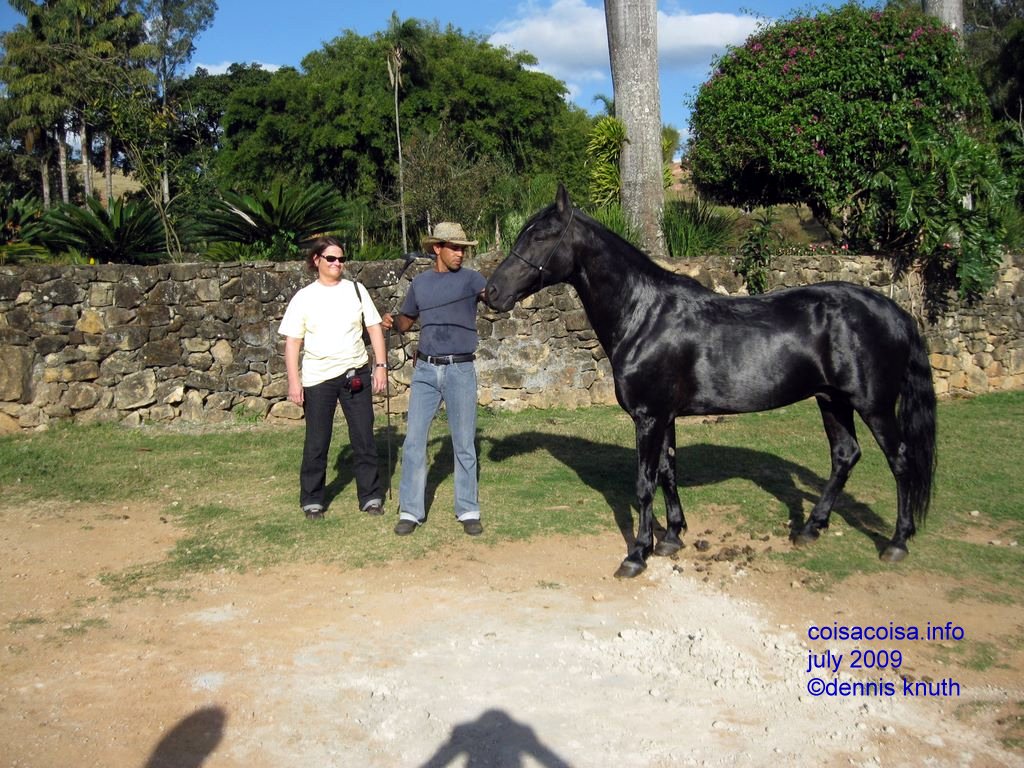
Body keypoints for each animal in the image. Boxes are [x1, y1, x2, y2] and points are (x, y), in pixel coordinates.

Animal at [485, 185, 937, 578]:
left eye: (539, 236)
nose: (491, 292)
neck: (645, 316)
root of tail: (896, 312)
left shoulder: (648, 417)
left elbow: (644, 483)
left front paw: (637, 554)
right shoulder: (664, 416)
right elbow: (668, 471)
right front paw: (671, 537)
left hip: (874, 405)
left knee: (900, 460)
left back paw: (896, 543)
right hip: (831, 399)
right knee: (845, 455)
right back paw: (810, 529)